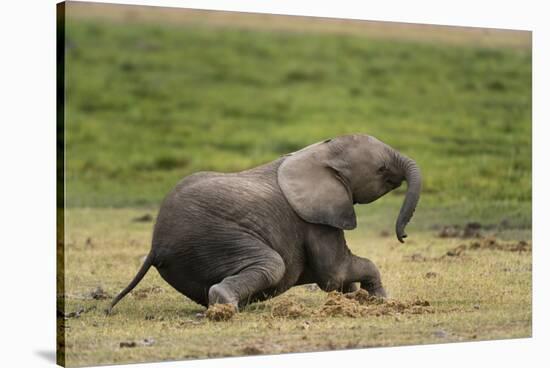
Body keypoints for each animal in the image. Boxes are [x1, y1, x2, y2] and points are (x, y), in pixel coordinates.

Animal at [110, 135, 424, 314]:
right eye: (381, 169)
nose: (404, 235)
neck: (319, 153)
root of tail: (155, 246)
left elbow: (336, 275)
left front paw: (355, 299)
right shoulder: (315, 217)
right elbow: (334, 272)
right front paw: (382, 301)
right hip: (214, 239)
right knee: (273, 265)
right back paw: (226, 310)